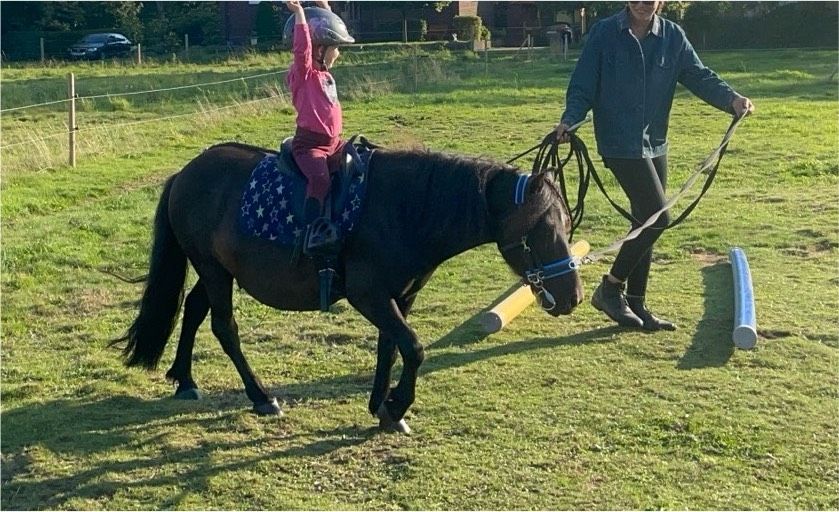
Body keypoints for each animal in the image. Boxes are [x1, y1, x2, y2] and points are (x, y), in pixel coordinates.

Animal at [118, 141, 584, 432]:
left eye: (566, 224)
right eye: (541, 230)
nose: (573, 295)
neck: (406, 209)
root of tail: (186, 172)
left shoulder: (400, 296)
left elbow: (391, 348)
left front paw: (383, 407)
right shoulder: (369, 296)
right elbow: (414, 348)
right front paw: (396, 404)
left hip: (216, 271)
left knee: (194, 309)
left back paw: (184, 379)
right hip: (214, 271)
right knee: (223, 328)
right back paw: (261, 396)